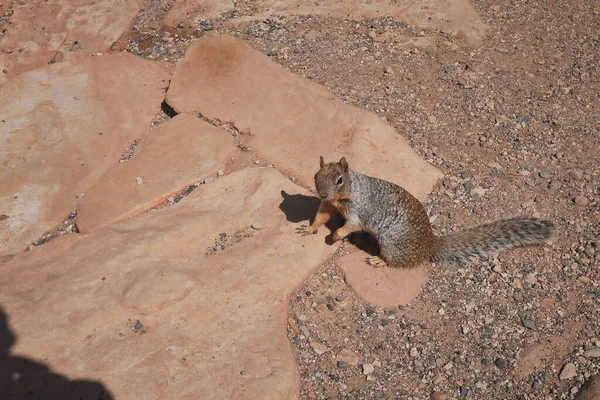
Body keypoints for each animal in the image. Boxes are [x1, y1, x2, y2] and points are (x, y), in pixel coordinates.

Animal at [298, 156, 556, 268]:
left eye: (339, 180)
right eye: (316, 175)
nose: (322, 192)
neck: (346, 192)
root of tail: (429, 245)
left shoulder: (358, 209)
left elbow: (351, 225)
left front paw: (335, 235)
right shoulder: (329, 205)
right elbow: (321, 217)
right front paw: (308, 228)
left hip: (392, 245)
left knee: (396, 262)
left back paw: (379, 260)